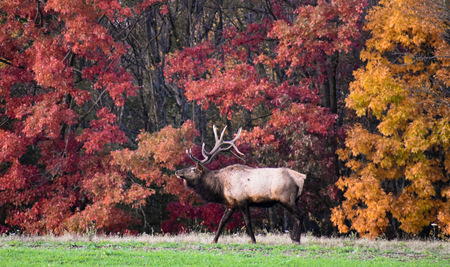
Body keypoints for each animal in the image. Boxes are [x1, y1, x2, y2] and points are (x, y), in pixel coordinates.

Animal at [175, 125, 306, 245]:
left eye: (193, 169)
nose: (177, 171)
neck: (220, 186)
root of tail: (301, 178)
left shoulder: (242, 200)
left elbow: (247, 222)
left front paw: (253, 241)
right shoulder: (230, 204)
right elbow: (222, 222)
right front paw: (213, 241)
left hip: (285, 198)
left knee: (299, 215)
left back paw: (296, 240)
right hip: (295, 199)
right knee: (297, 215)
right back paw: (294, 238)